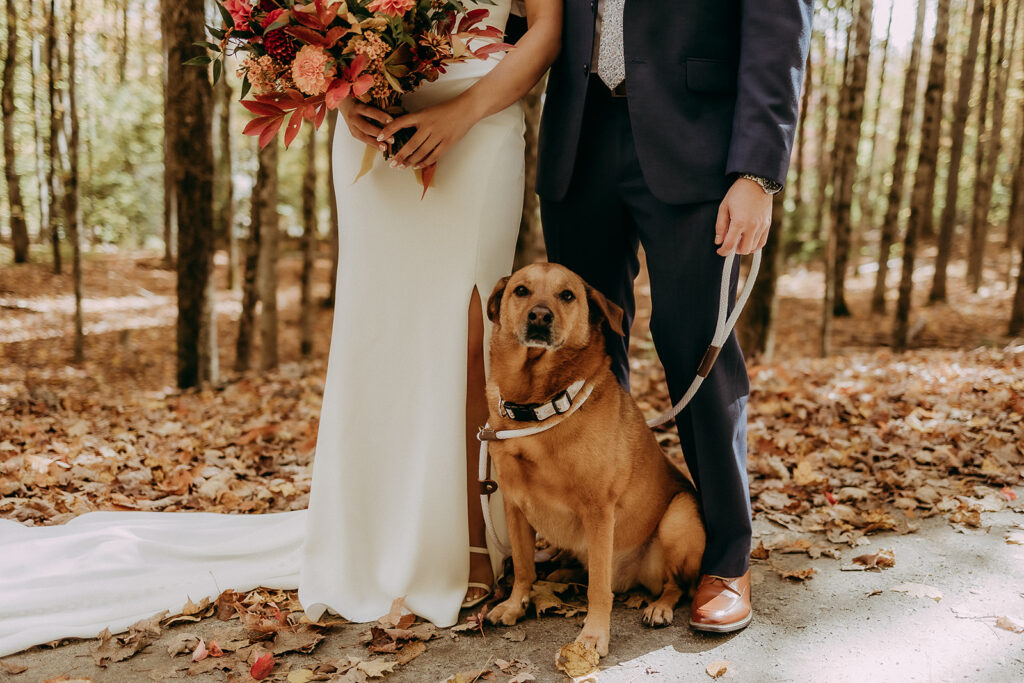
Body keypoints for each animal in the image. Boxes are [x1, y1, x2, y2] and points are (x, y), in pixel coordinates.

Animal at [479, 264, 704, 655]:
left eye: (567, 295)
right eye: (521, 290)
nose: (540, 315)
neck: (539, 408)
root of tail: (635, 579)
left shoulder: (598, 511)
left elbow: (600, 587)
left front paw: (593, 636)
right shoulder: (514, 505)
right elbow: (522, 566)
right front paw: (514, 605)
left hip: (679, 517)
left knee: (676, 585)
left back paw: (659, 607)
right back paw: (564, 572)